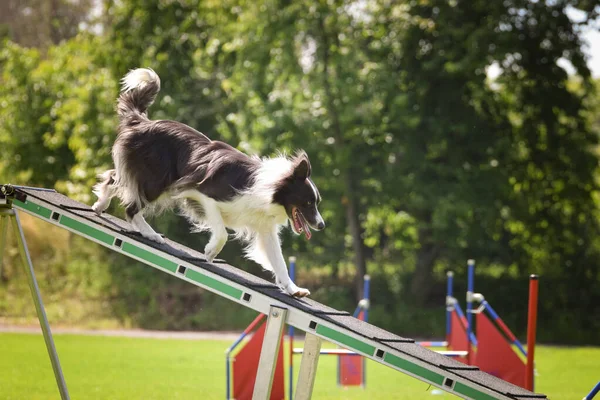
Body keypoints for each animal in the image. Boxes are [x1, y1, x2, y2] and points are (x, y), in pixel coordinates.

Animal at [93, 68, 326, 296]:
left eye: (316, 203)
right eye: (307, 202)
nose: (321, 225)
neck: (271, 190)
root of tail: (143, 122)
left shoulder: (264, 227)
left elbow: (279, 261)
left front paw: (294, 289)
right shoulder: (204, 193)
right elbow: (221, 232)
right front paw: (211, 251)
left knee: (114, 178)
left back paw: (100, 205)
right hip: (159, 181)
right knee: (131, 207)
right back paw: (150, 234)